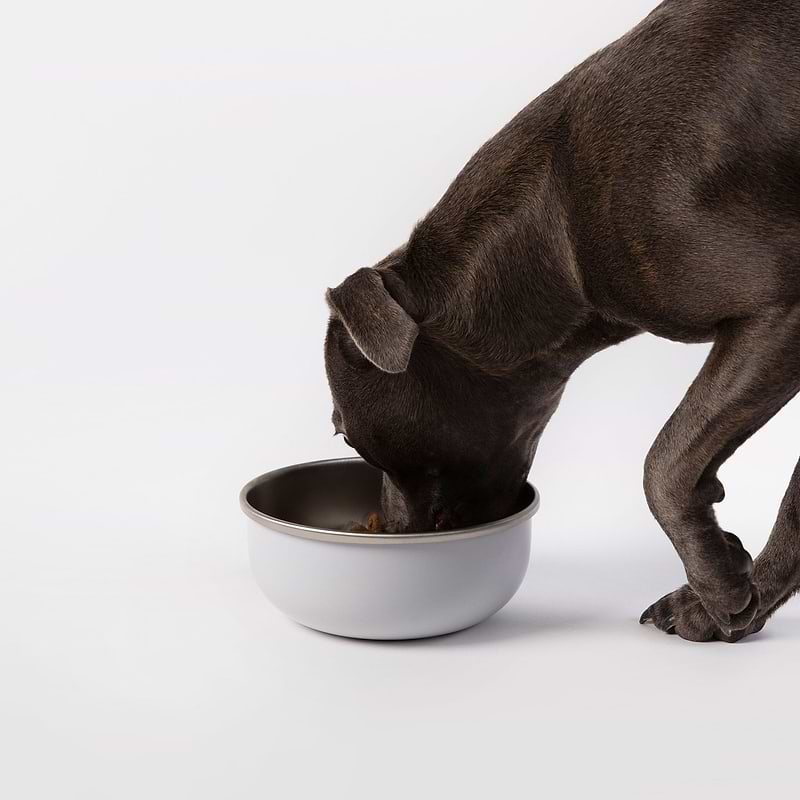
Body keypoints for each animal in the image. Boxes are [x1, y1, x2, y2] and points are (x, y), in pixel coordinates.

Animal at [322, 0, 800, 640]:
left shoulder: (777, 313)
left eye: (344, 432)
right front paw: (722, 601)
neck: (558, 214)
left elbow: (664, 462)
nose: (390, 534)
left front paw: (719, 586)